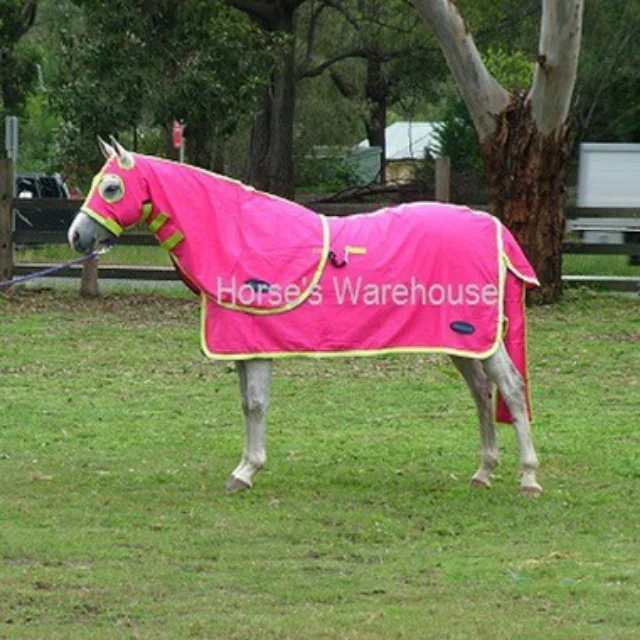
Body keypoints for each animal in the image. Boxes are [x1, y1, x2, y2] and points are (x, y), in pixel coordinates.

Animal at [68, 139, 542, 497]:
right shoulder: (244, 345)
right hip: (461, 341)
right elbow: (247, 405)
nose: (76, 236)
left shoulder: (258, 347)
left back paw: (529, 478)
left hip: (482, 339)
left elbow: (256, 405)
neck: (241, 237)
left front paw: (246, 471)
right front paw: (245, 468)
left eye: (111, 188)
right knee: (482, 392)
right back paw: (483, 471)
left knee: (511, 390)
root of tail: (495, 228)